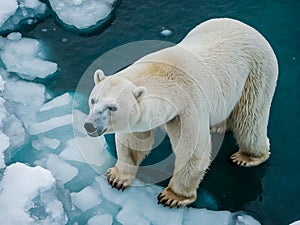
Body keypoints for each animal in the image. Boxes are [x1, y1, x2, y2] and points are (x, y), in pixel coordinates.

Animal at [83, 17, 278, 207]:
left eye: (112, 107)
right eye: (94, 100)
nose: (89, 126)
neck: (164, 74)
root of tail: (247, 27)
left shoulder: (187, 107)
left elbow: (193, 150)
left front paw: (172, 197)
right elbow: (134, 141)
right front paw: (117, 177)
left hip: (256, 73)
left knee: (250, 117)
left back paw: (247, 157)